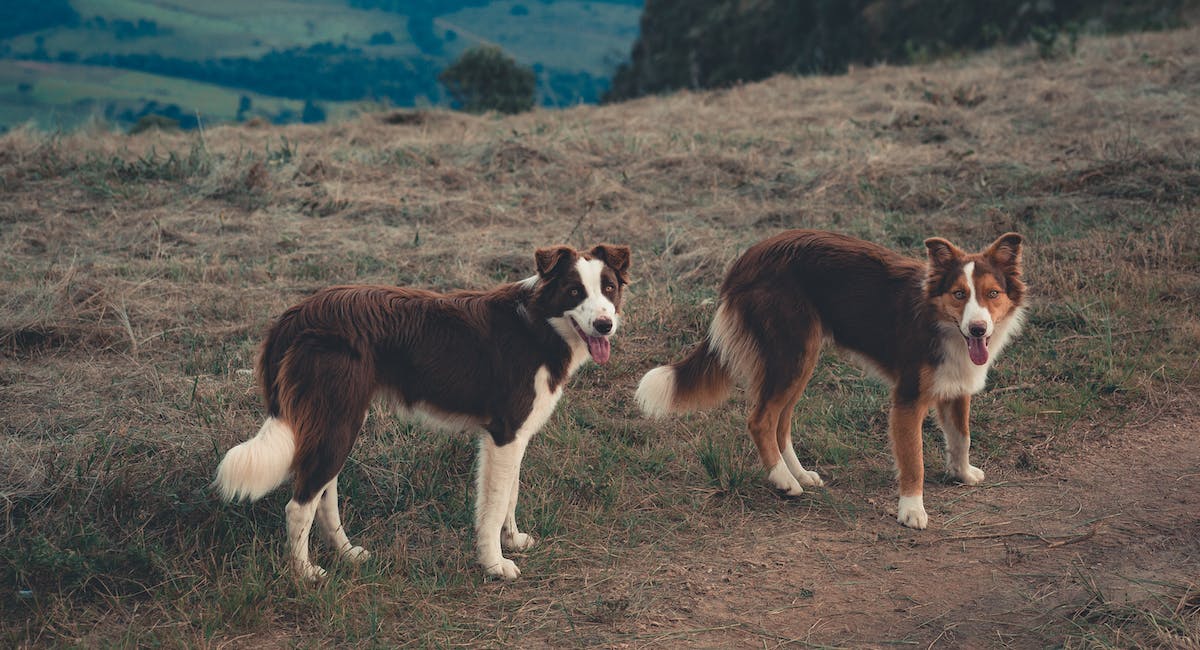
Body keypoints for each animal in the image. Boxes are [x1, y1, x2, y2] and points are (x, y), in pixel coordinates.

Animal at [214, 244, 633, 580]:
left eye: (608, 289)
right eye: (574, 291)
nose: (604, 325)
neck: (538, 324)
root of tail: (297, 313)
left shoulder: (515, 435)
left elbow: (510, 494)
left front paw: (512, 540)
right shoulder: (504, 434)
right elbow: (496, 502)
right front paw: (495, 564)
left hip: (336, 421)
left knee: (324, 495)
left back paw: (347, 554)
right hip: (337, 421)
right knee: (299, 505)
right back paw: (305, 573)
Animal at [638, 231, 1022, 532]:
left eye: (992, 294)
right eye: (959, 294)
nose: (978, 329)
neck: (939, 319)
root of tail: (748, 257)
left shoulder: (957, 386)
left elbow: (961, 436)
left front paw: (963, 473)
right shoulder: (908, 398)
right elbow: (914, 459)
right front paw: (912, 509)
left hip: (801, 359)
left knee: (780, 422)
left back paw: (798, 474)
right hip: (791, 353)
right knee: (761, 419)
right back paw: (783, 480)